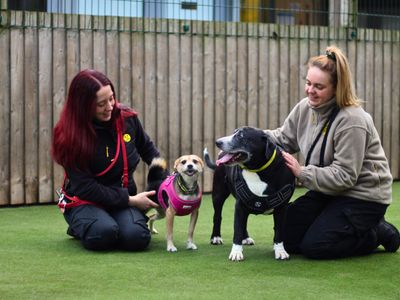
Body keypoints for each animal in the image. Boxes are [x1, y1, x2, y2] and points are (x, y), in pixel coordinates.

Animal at [205, 126, 296, 260]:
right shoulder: (240, 204)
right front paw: (236, 253)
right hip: (218, 193)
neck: (257, 169)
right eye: (234, 132)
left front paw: (280, 250)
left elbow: (279, 230)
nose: (218, 142)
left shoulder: (281, 208)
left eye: (241, 136)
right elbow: (237, 229)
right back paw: (216, 237)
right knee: (217, 216)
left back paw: (246, 238)